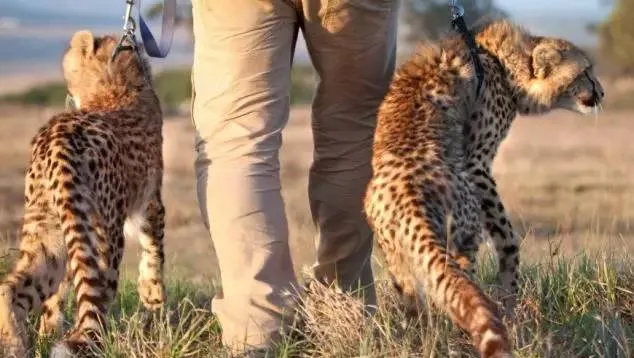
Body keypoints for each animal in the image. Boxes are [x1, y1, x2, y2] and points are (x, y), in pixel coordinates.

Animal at [0, 31, 165, 358]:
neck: (115, 80)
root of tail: (57, 138)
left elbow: (58, 295)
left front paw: (48, 330)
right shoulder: (151, 201)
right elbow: (154, 250)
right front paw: (154, 299)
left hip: (48, 232)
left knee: (10, 287)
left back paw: (15, 344)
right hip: (105, 237)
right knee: (96, 303)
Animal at [362, 20, 600, 358]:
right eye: (585, 73)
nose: (600, 93)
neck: (501, 60)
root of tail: (408, 194)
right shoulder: (476, 165)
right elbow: (507, 237)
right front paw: (508, 291)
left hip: (396, 256)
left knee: (418, 299)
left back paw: (417, 337)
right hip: (464, 233)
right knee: (462, 279)